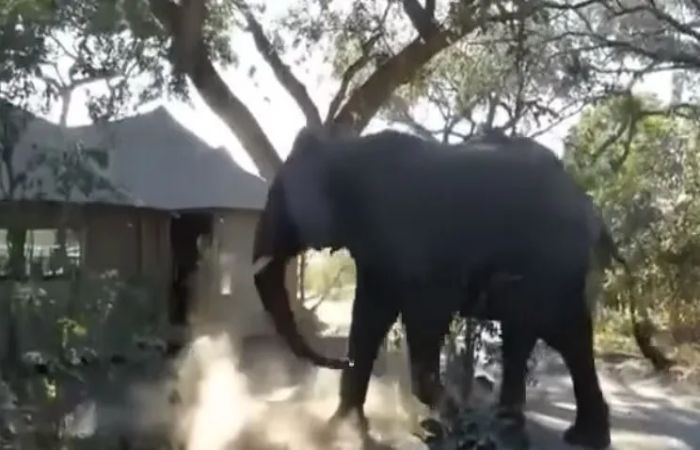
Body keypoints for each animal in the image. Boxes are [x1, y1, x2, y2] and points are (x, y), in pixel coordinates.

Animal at [252, 126, 611, 449]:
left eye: (277, 198)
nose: (340, 360)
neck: (345, 148)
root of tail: (589, 206)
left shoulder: (415, 243)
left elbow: (426, 315)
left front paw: (451, 417)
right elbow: (369, 317)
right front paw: (339, 433)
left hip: (553, 267)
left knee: (558, 334)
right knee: (541, 336)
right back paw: (532, 434)